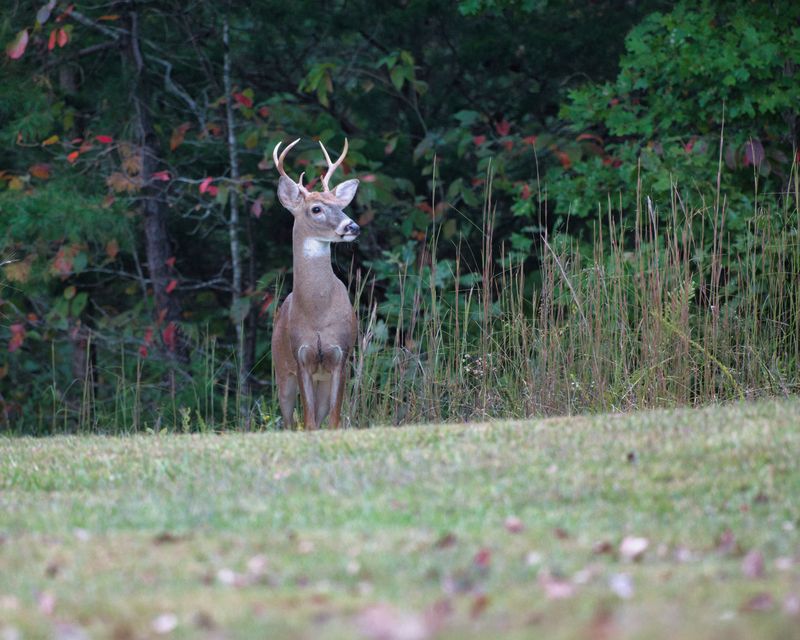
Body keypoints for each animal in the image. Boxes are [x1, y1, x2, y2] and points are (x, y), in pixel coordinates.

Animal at [271, 138, 360, 429]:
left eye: (340, 205)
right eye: (316, 208)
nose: (352, 226)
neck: (318, 312)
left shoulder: (340, 356)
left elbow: (333, 420)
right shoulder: (301, 358)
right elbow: (308, 422)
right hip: (281, 369)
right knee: (289, 421)